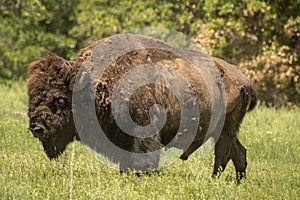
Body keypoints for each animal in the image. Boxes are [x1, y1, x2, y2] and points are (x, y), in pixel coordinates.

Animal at [28, 33, 256, 182]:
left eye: (59, 100)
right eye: (31, 97)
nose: (36, 128)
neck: (96, 84)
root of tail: (244, 79)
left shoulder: (143, 131)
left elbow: (144, 154)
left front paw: (142, 175)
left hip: (226, 128)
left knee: (223, 152)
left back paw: (215, 179)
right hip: (227, 129)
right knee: (239, 152)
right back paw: (237, 181)